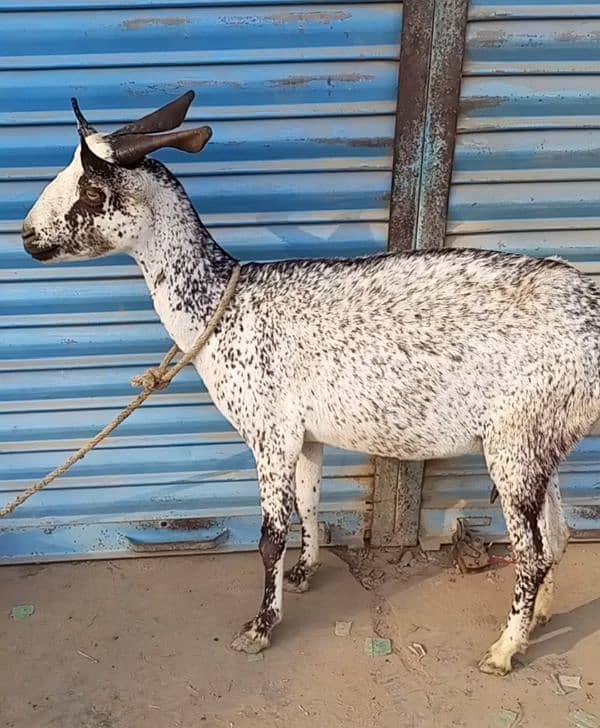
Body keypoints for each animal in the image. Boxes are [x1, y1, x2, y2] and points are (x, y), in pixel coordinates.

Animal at [21, 92, 600, 676]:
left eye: (92, 191)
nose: (26, 235)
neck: (225, 308)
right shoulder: (305, 435)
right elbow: (310, 502)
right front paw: (304, 572)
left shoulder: (268, 431)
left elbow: (270, 536)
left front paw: (260, 627)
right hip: (544, 438)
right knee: (557, 535)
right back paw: (539, 618)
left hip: (514, 440)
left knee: (530, 550)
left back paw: (504, 649)